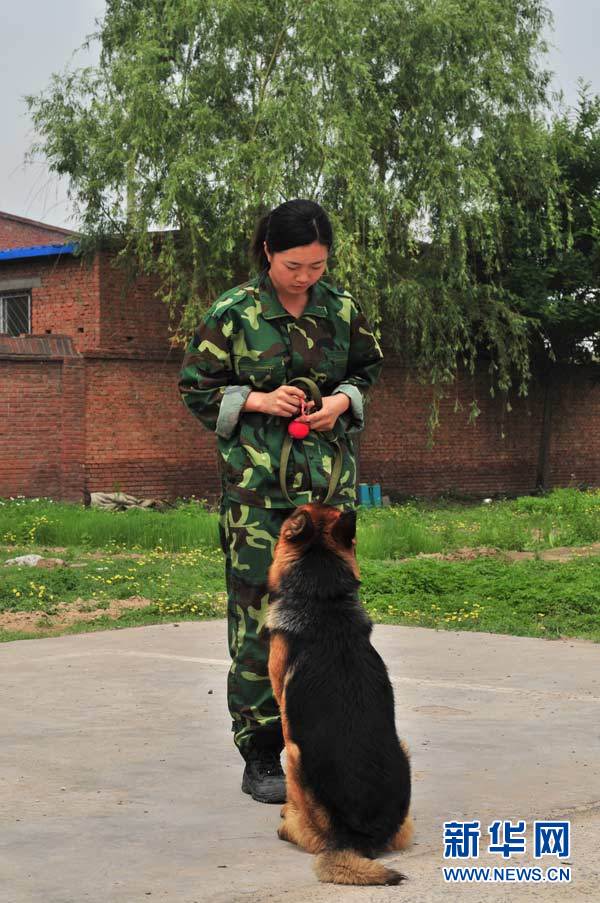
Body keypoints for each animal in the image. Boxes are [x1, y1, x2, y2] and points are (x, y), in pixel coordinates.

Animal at [268, 504, 412, 888]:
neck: (324, 599)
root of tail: (359, 838)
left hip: (295, 756)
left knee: (310, 836)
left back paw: (288, 825)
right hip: (404, 751)